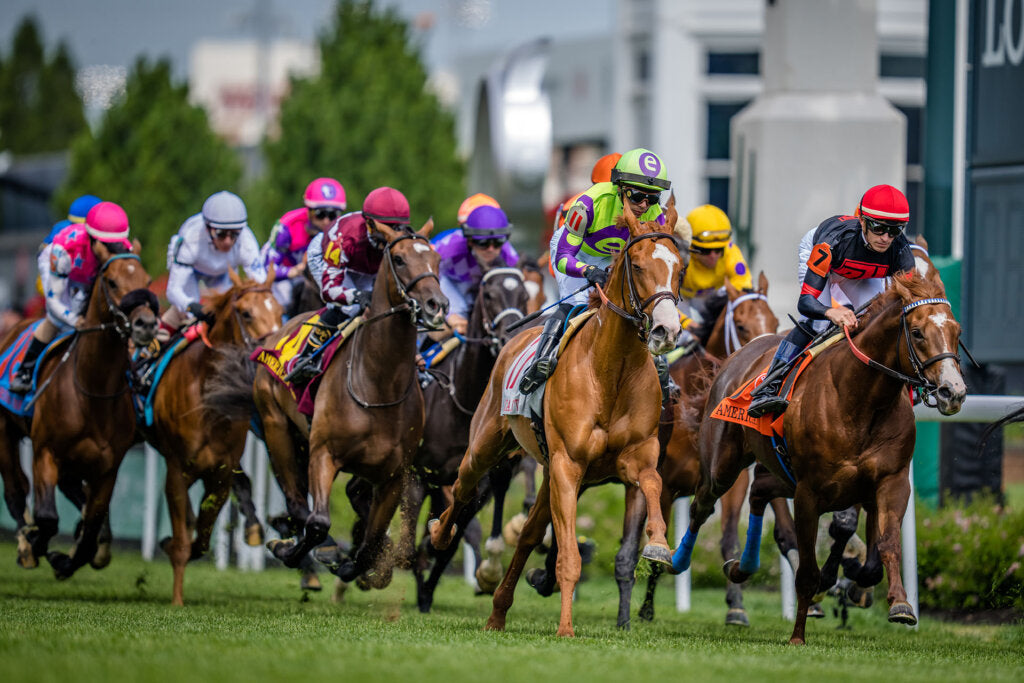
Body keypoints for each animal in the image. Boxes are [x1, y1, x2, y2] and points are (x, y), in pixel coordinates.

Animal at [0, 250, 157, 577]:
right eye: (112, 282)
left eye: (147, 280)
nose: (146, 324)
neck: (92, 390)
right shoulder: (45, 452)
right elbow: (47, 517)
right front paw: (37, 544)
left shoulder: (108, 466)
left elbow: (92, 523)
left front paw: (67, 558)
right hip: (4, 432)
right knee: (15, 488)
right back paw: (25, 546)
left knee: (74, 493)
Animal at [142, 270, 282, 606]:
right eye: (246, 313)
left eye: (280, 311)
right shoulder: (177, 469)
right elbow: (183, 539)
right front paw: (177, 601)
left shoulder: (221, 472)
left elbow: (202, 536)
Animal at [252, 222, 448, 585]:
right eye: (399, 259)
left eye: (437, 259)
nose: (436, 305)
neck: (377, 385)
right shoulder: (324, 454)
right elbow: (317, 523)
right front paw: (297, 550)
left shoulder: (393, 476)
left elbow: (373, 539)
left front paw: (355, 565)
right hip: (275, 425)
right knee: (297, 501)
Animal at [428, 201, 684, 634]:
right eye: (636, 264)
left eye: (679, 267)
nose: (666, 330)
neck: (611, 371)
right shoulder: (568, 463)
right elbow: (568, 558)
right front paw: (566, 627)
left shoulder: (637, 456)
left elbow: (651, 483)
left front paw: (659, 545)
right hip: (488, 444)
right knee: (463, 486)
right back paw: (439, 534)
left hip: (547, 472)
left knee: (528, 533)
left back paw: (497, 611)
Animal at [679, 274, 966, 647]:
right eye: (917, 332)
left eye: (957, 331)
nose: (953, 391)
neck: (860, 399)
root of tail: (736, 356)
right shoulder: (809, 492)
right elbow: (807, 570)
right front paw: (798, 635)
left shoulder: (890, 481)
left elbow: (884, 544)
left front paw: (899, 603)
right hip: (723, 466)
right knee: (702, 504)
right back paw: (671, 559)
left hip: (778, 473)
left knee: (759, 491)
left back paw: (741, 566)